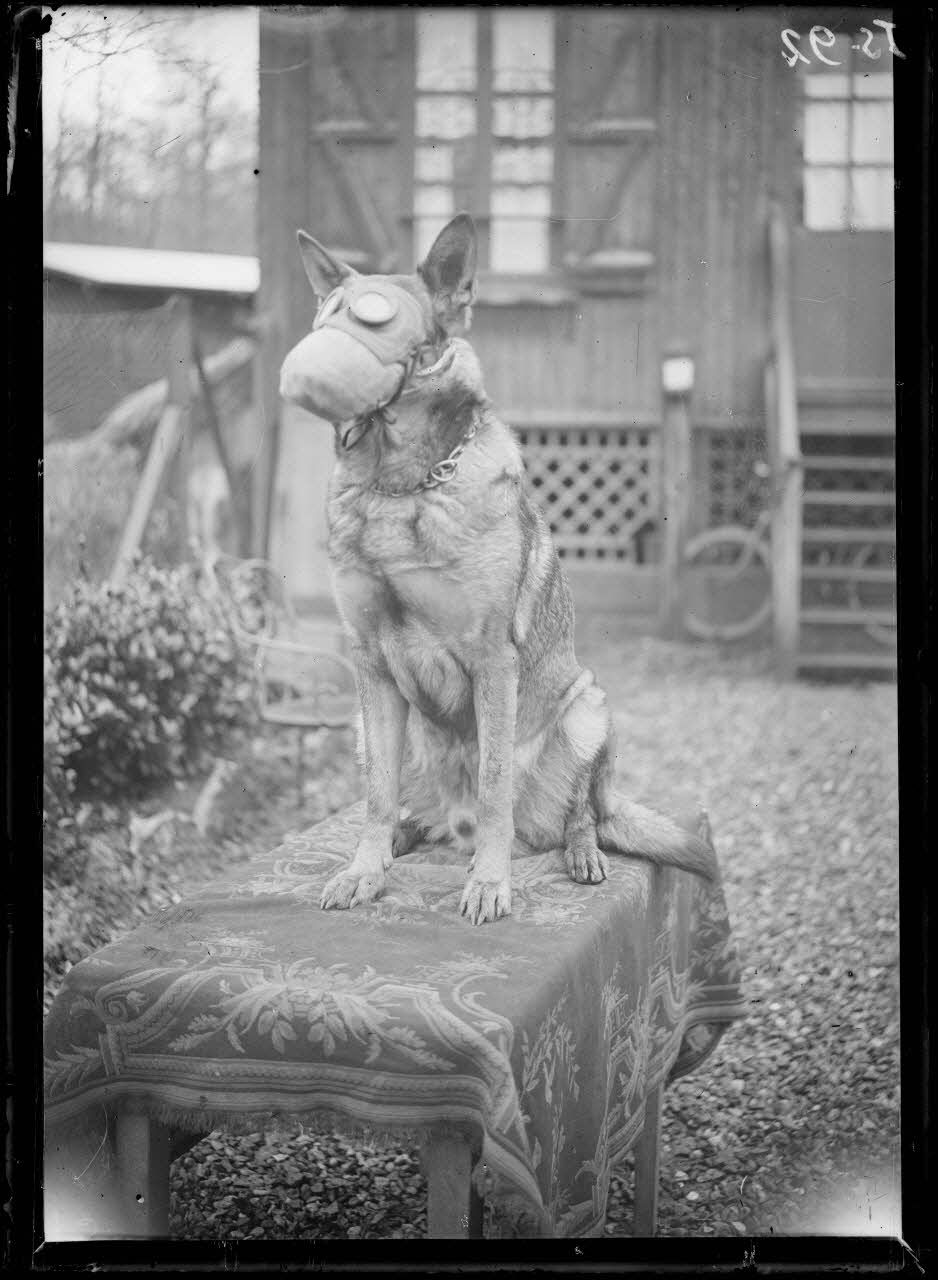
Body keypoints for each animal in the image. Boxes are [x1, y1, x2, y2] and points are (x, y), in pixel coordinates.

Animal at [277, 215, 716, 926]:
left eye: (375, 317)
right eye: (325, 313)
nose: (310, 356)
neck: (402, 485)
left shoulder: (492, 662)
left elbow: (493, 791)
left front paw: (489, 883)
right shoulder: (370, 662)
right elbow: (375, 796)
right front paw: (366, 871)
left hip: (587, 706)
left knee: (579, 814)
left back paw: (579, 853)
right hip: (368, 727)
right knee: (405, 803)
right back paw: (403, 837)